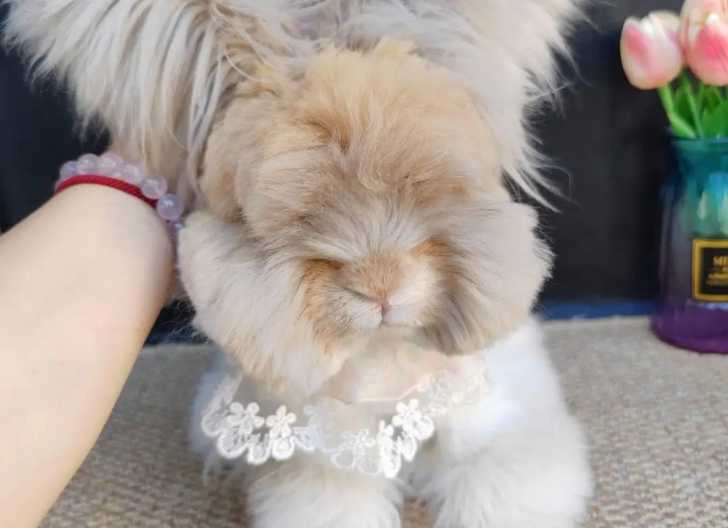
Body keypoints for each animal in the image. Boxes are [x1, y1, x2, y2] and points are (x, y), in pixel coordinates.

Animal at [4, 1, 593, 526]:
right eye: (283, 217)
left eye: (429, 187)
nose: (381, 288)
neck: (383, 360)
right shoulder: (321, 467)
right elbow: (335, 506)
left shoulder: (500, 432)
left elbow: (500, 491)